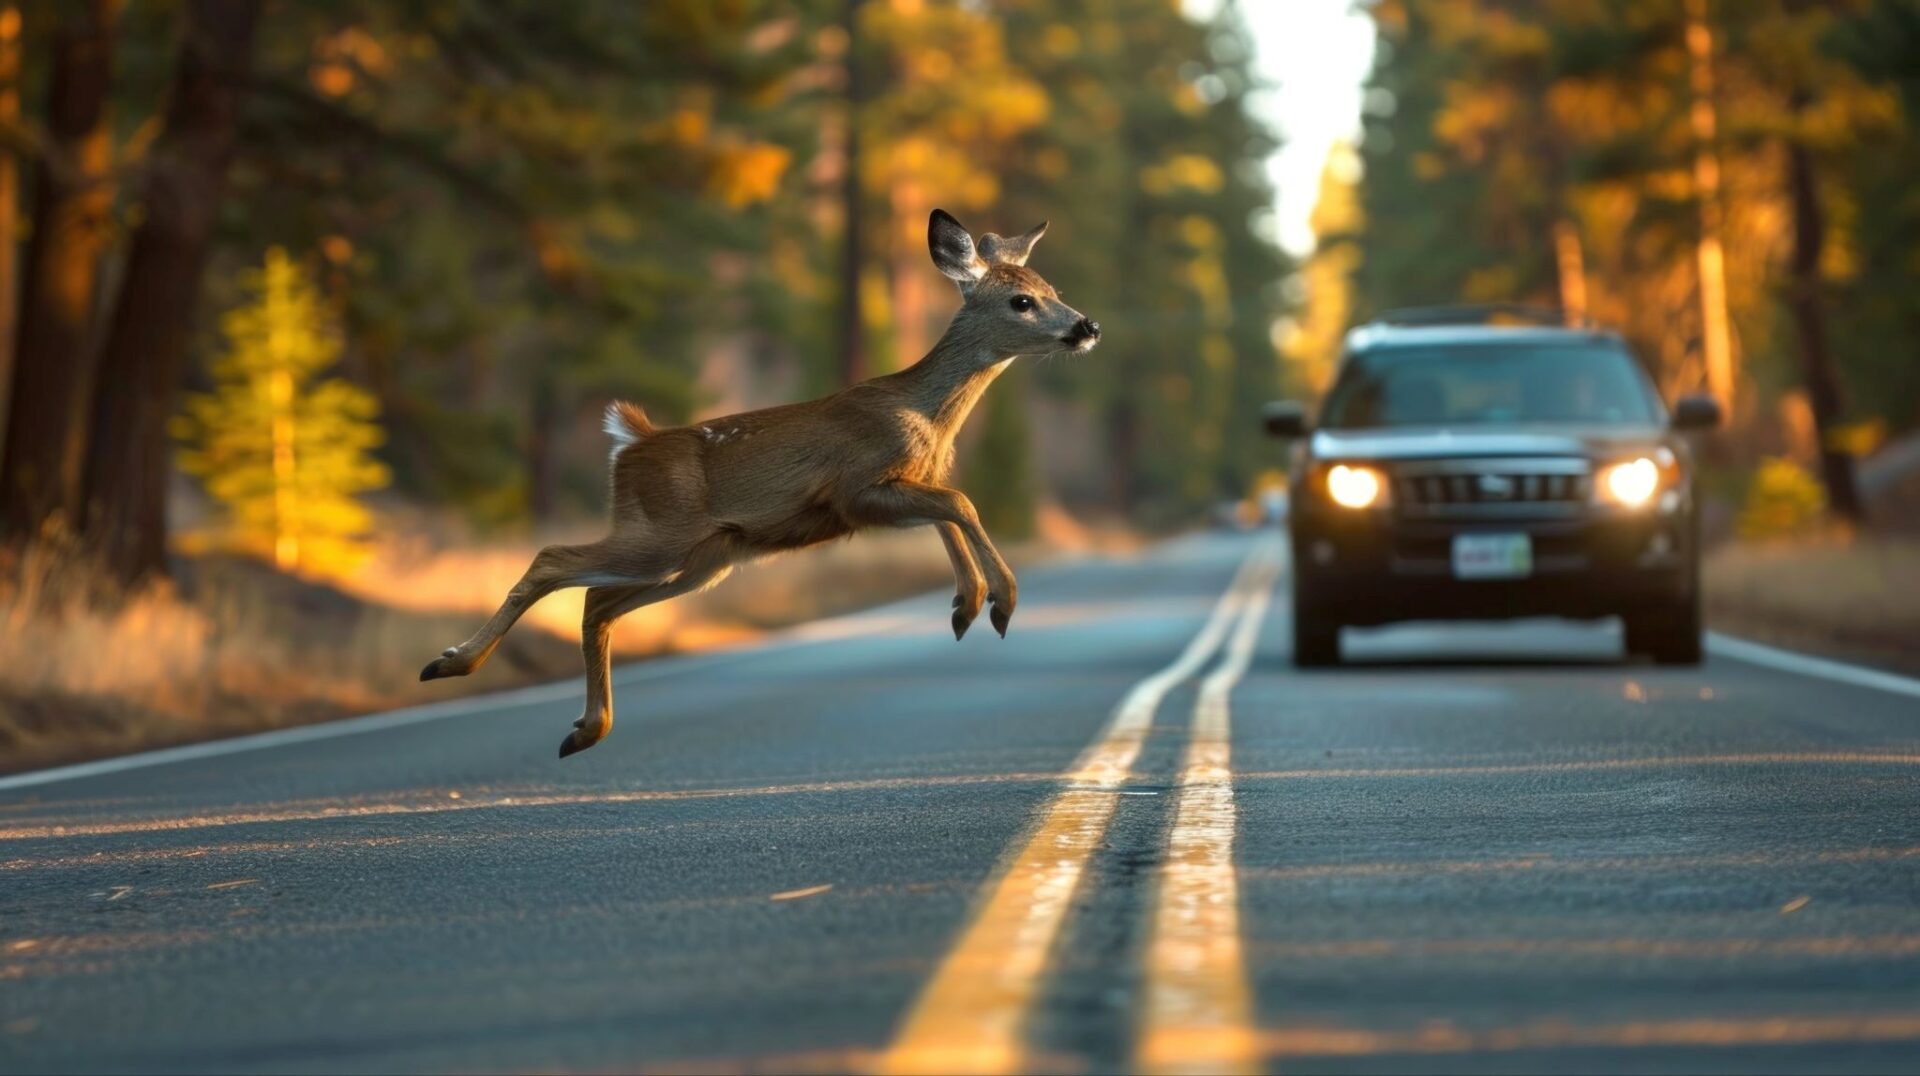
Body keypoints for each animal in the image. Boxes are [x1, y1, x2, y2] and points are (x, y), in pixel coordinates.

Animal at [419, 209, 1101, 758]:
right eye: (1021, 302)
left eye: (1053, 290)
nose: (1087, 327)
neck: (925, 417)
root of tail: (630, 444)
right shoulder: (854, 487)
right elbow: (960, 501)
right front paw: (999, 601)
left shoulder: (888, 492)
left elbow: (948, 510)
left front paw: (966, 604)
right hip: (661, 535)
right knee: (553, 559)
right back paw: (451, 663)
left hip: (703, 559)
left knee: (596, 603)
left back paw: (583, 729)